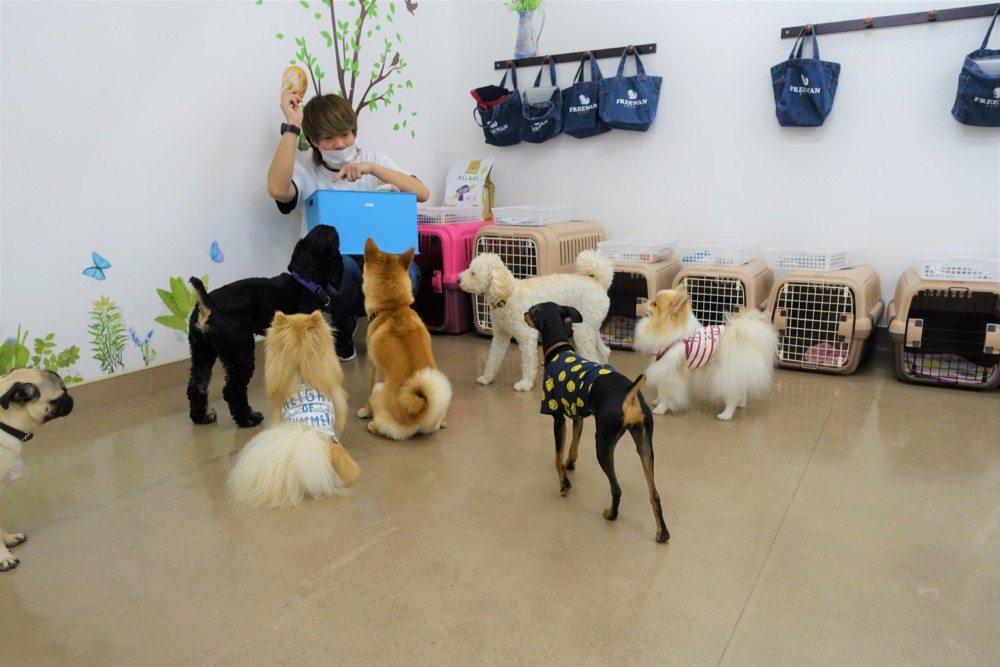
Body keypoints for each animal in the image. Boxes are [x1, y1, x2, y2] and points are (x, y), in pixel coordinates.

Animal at [187, 225, 344, 428]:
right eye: (334, 237)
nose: (331, 226)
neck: (304, 281)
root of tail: (208, 304)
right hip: (240, 352)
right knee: (232, 390)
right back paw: (248, 418)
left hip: (202, 352)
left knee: (196, 385)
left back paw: (202, 416)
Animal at [357, 238, 452, 440]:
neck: (392, 308)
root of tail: (419, 414)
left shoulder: (373, 367)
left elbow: (367, 393)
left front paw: (365, 411)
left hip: (379, 390)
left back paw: (373, 425)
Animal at [457, 250, 613, 391]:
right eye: (469, 268)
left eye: (473, 273)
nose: (458, 280)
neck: (508, 295)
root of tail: (598, 282)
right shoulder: (500, 337)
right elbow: (492, 359)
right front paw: (486, 378)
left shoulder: (527, 337)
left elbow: (528, 363)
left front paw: (525, 384)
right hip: (590, 325)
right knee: (604, 351)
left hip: (583, 330)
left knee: (592, 355)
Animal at [525, 302, 669, 543]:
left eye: (533, 310)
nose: (523, 313)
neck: (559, 350)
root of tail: (629, 394)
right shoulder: (577, 416)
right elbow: (573, 447)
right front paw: (570, 464)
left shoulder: (557, 417)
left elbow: (556, 458)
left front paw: (564, 484)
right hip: (645, 447)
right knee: (655, 494)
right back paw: (662, 533)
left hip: (603, 445)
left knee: (617, 489)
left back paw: (611, 514)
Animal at [633, 286, 779, 421]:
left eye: (655, 304)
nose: (644, 299)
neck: (667, 330)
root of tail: (742, 338)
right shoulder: (663, 367)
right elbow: (660, 390)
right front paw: (657, 401)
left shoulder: (670, 371)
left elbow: (666, 392)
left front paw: (661, 408)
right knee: (741, 389)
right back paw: (741, 403)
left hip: (726, 374)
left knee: (732, 396)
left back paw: (726, 415)